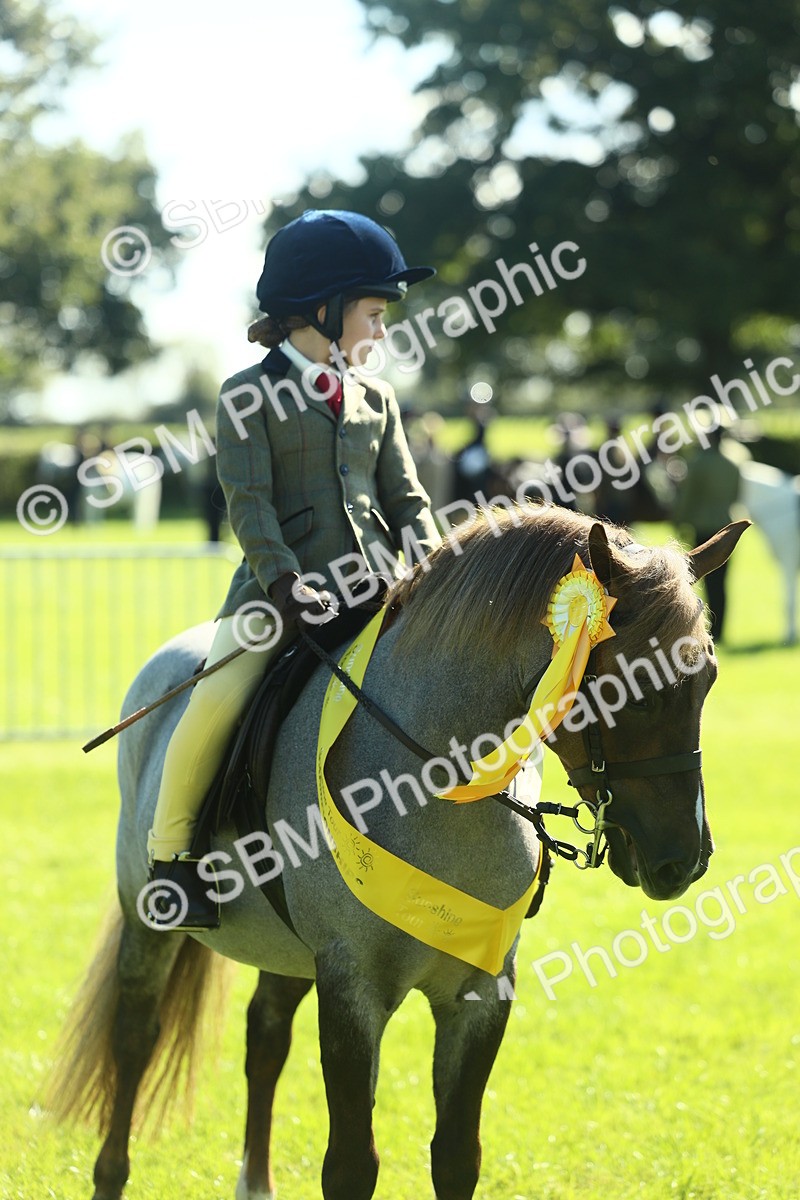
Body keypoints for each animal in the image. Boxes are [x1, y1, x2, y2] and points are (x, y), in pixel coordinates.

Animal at [45, 505, 748, 1200]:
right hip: (148, 922)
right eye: (629, 686)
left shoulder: (482, 991)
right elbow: (352, 1165)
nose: (684, 860)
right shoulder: (350, 986)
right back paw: (110, 1173)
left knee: (265, 1036)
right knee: (135, 1035)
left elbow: (457, 1157)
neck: (436, 786)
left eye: (709, 677)